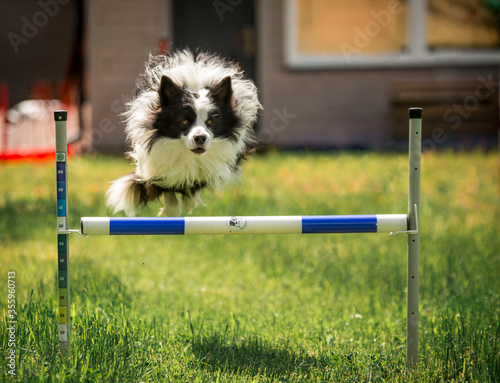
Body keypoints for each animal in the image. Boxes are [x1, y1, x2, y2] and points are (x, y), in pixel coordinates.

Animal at [105, 51, 262, 218]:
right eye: (184, 121)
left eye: (211, 121)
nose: (200, 138)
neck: (187, 154)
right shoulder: (154, 163)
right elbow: (166, 187)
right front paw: (172, 210)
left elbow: (196, 182)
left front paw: (189, 202)